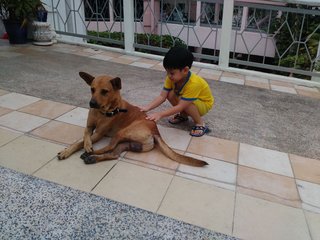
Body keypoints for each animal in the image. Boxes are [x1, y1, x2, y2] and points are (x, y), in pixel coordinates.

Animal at [57, 71, 208, 167]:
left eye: (105, 91)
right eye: (92, 89)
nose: (92, 103)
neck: (102, 112)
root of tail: (155, 131)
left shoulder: (99, 133)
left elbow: (80, 142)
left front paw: (85, 147)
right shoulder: (89, 127)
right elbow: (83, 136)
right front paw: (73, 149)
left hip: (122, 132)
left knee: (110, 147)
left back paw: (91, 154)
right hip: (128, 144)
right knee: (114, 154)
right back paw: (93, 157)